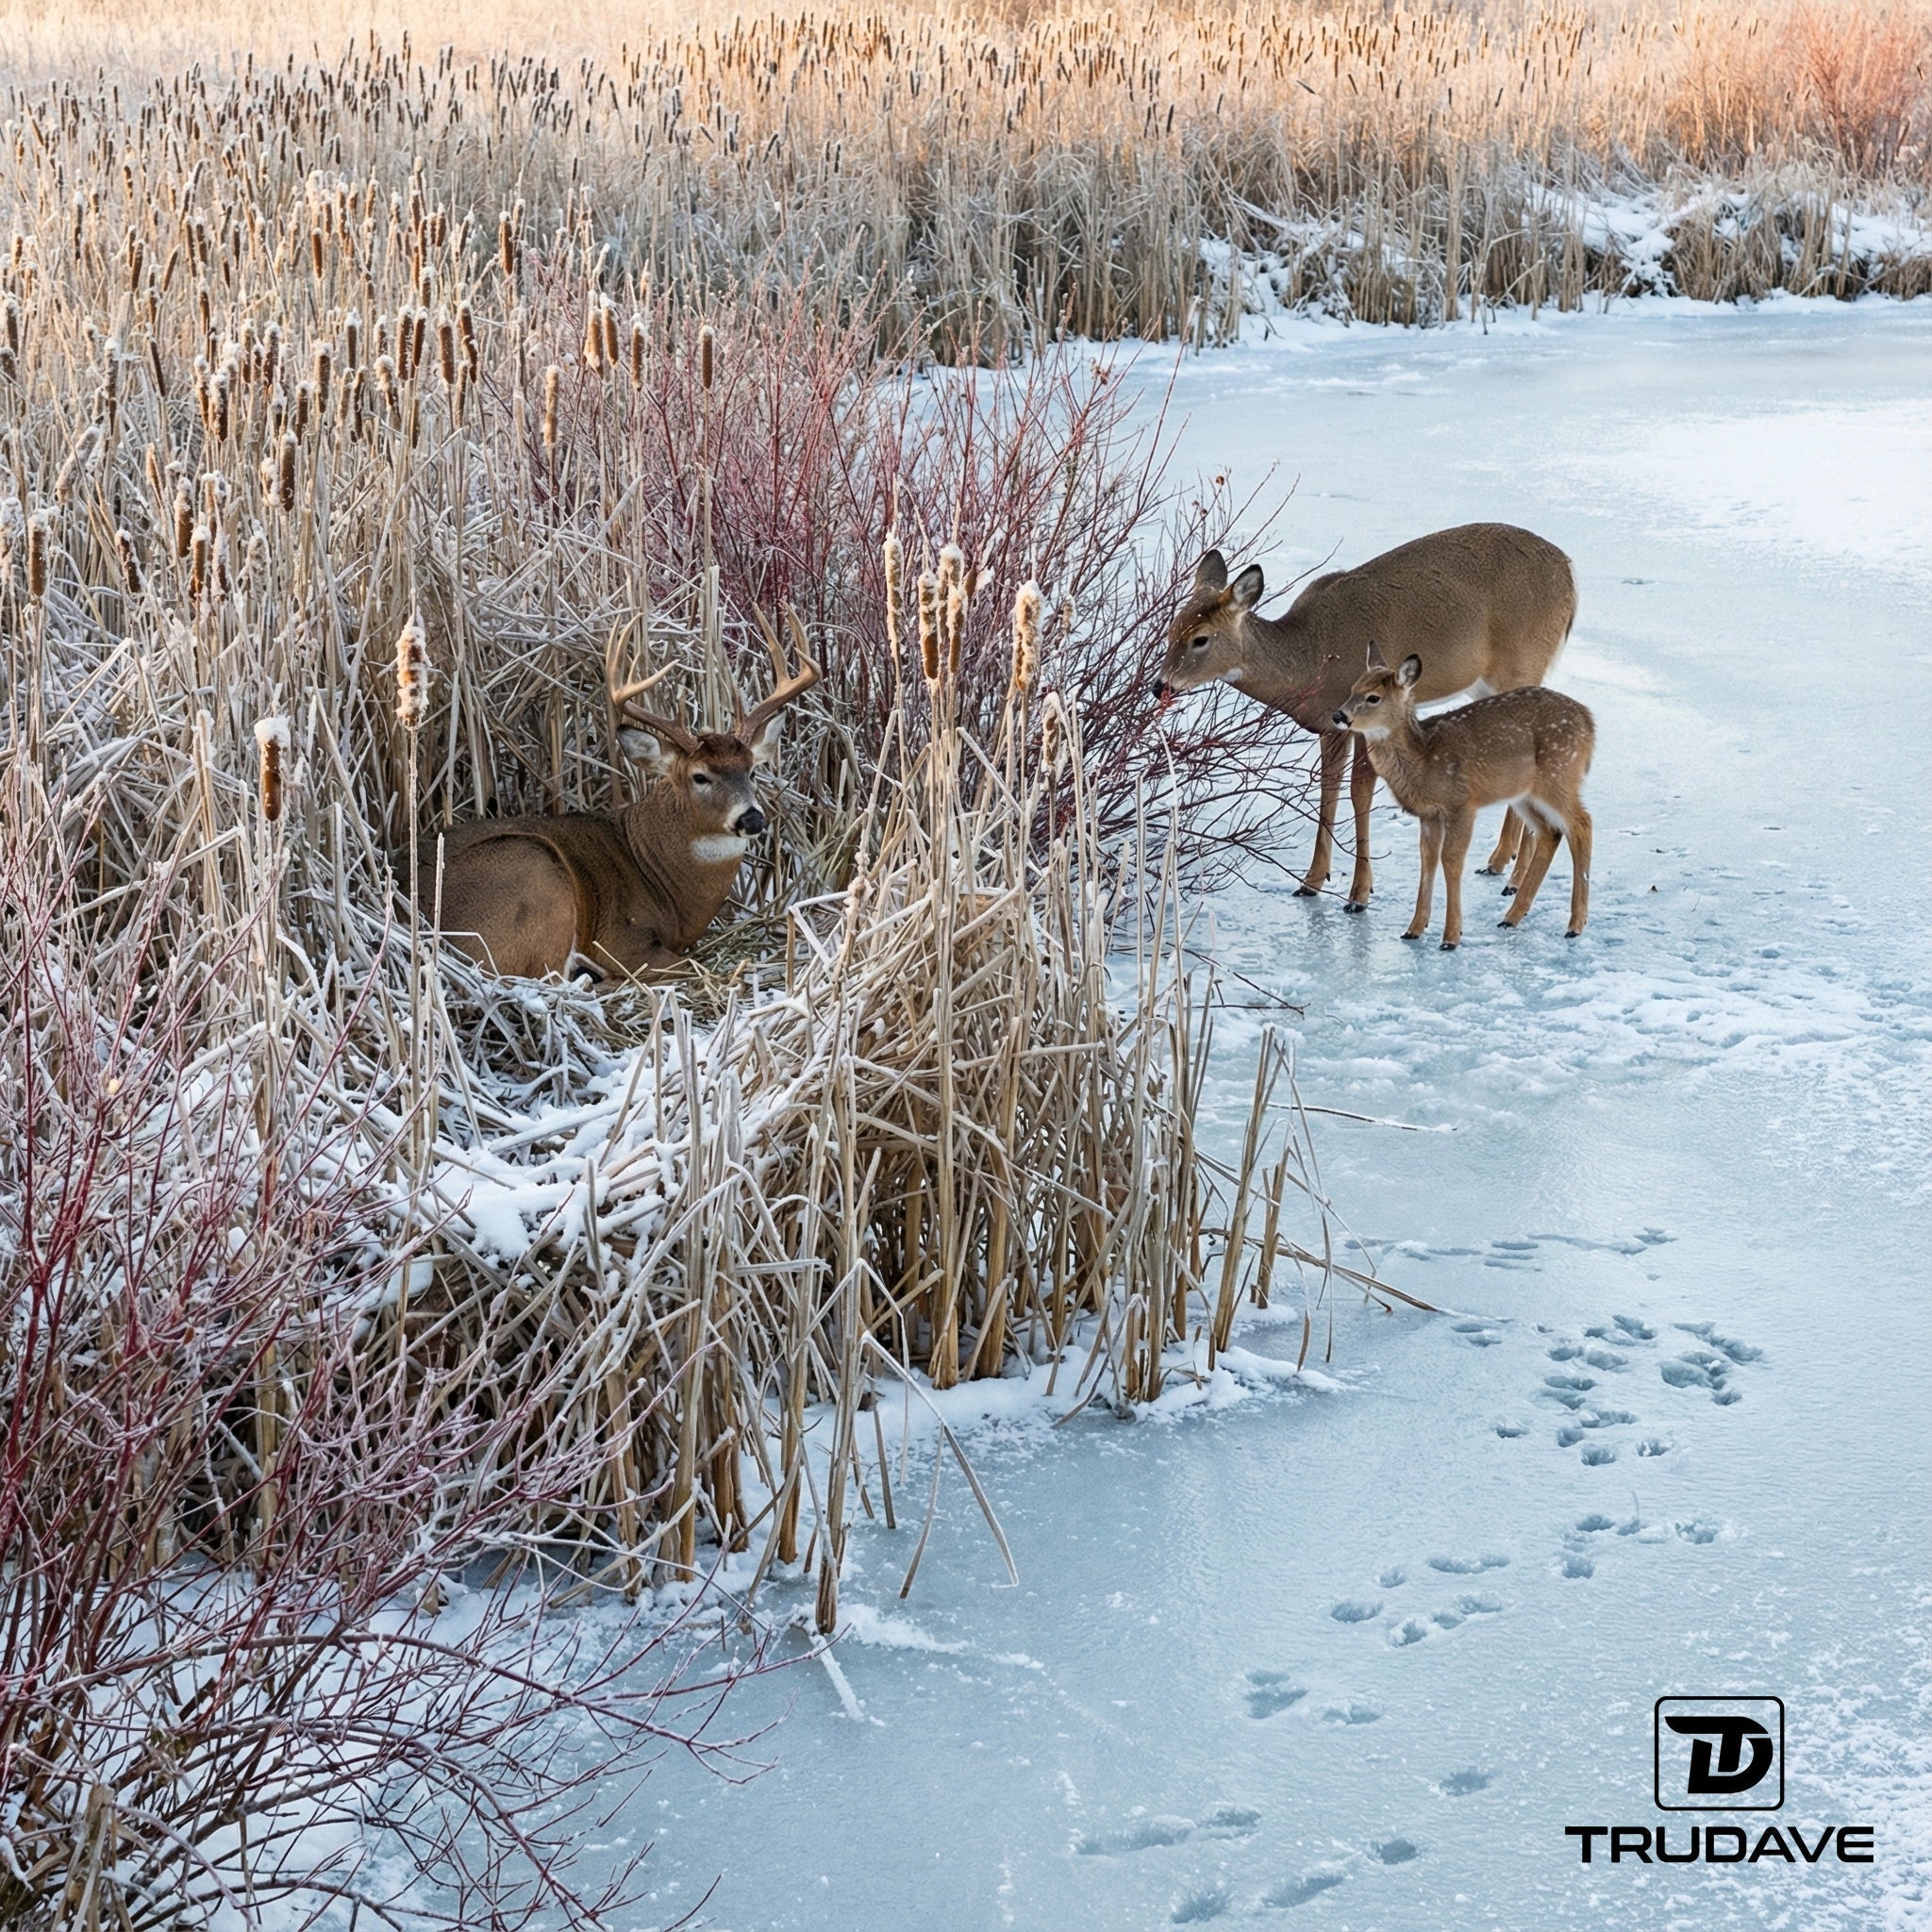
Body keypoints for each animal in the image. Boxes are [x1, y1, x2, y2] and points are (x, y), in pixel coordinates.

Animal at [429, 612, 819, 979]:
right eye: (700, 776)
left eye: (752, 771)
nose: (751, 818)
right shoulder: (620, 939)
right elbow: (691, 967)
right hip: (534, 876)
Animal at [1156, 523, 1576, 911]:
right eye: (1172, 628)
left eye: (1201, 638)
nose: (1159, 686)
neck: (1310, 656)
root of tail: (1570, 573)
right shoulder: (1330, 725)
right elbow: (1328, 789)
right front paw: (1311, 881)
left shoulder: (1363, 718)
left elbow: (1359, 792)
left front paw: (1359, 893)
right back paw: (1502, 862)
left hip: (1522, 662)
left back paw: (1513, 877)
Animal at [1331, 644, 1594, 950]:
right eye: (1353, 688)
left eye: (1373, 697)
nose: (1339, 716)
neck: (1423, 760)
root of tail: (1590, 723)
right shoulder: (1429, 814)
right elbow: (1428, 859)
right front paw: (1414, 929)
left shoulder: (1462, 803)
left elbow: (1452, 859)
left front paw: (1451, 937)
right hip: (1524, 792)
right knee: (1551, 832)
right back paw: (1511, 917)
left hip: (1559, 776)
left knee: (1581, 824)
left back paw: (1574, 925)